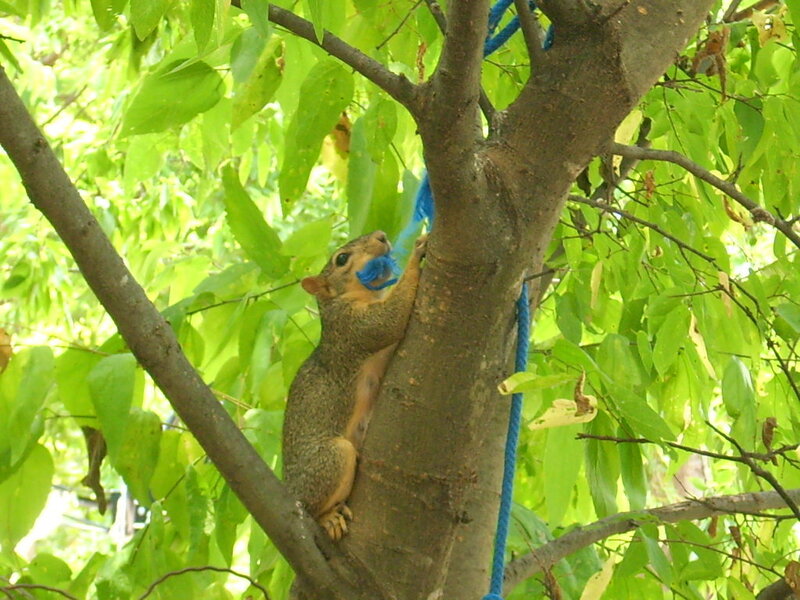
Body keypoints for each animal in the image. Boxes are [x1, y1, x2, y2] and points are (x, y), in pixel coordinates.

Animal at [282, 230, 427, 540]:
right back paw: (328, 519)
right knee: (315, 504)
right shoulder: (351, 328)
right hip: (332, 458)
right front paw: (416, 255)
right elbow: (388, 321)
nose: (381, 235)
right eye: (341, 259)